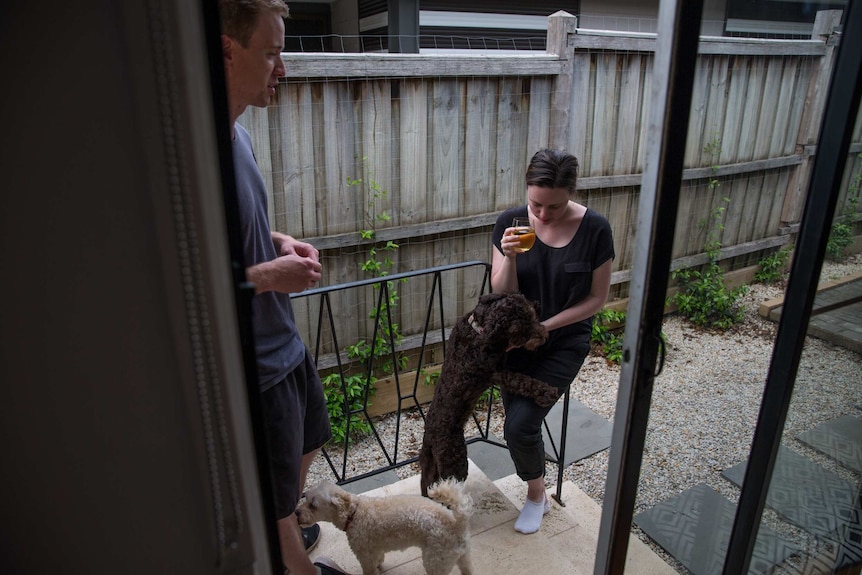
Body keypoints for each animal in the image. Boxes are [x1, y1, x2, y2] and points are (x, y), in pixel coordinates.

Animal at [296, 480, 472, 572]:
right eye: (306, 499)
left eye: (313, 505)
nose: (296, 512)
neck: (354, 514)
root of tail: (457, 523)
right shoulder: (375, 550)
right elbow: (379, 559)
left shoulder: (365, 556)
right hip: (463, 558)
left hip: (435, 561)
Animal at [420, 294, 560, 498]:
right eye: (518, 330)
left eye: (532, 316)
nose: (543, 336)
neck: (476, 329)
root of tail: (429, 437)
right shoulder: (496, 373)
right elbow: (522, 381)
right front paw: (547, 392)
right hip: (455, 461)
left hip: (431, 464)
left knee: (427, 484)